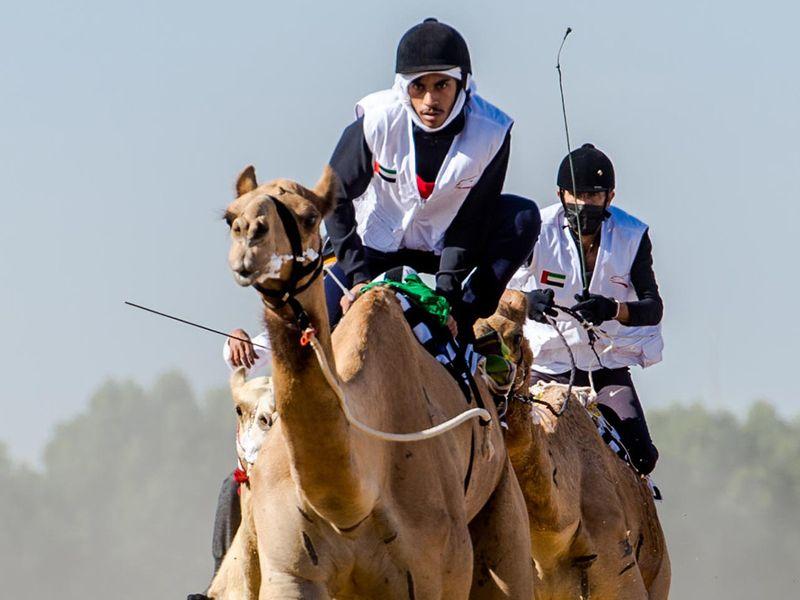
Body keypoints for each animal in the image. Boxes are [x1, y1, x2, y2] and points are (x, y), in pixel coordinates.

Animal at [216, 165, 536, 600]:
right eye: (231, 217)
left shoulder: (437, 573)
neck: (351, 502)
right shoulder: (289, 572)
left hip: (502, 504)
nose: (250, 236)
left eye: (309, 216)